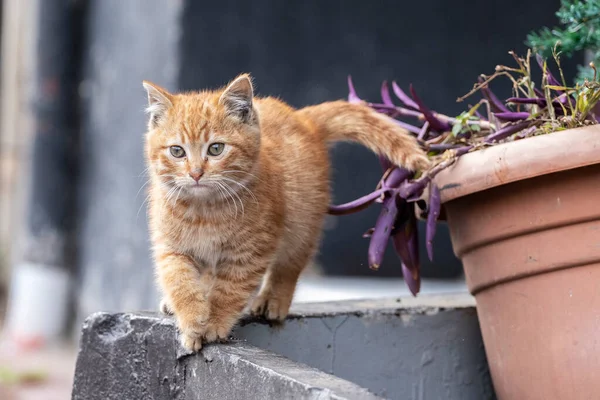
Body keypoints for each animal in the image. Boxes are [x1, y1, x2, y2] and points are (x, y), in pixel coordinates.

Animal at [143, 74, 428, 350]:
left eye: (216, 148)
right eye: (177, 151)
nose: (195, 174)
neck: (204, 210)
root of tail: (303, 119)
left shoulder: (250, 252)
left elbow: (230, 290)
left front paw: (214, 323)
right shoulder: (170, 246)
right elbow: (179, 281)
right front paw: (192, 320)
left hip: (303, 222)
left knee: (290, 264)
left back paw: (274, 300)